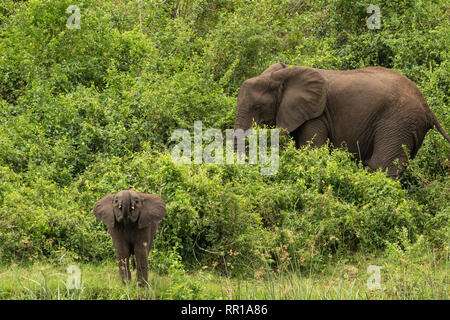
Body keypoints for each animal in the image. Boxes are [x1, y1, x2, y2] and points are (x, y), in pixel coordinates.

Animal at [236, 62, 450, 178]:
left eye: (257, 107)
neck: (284, 74)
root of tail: (426, 106)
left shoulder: (317, 115)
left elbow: (312, 152)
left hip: (397, 122)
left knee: (382, 166)